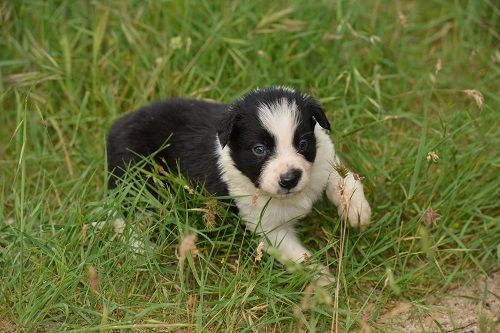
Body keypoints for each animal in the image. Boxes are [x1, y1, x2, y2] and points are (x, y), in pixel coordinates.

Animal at [106, 87, 372, 272]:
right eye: (259, 150)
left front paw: (356, 211)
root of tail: (116, 126)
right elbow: (296, 254)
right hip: (137, 179)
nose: (289, 179)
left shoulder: (324, 158)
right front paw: (320, 278)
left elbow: (345, 178)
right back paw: (141, 250)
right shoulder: (266, 225)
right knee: (125, 216)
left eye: (303, 144)